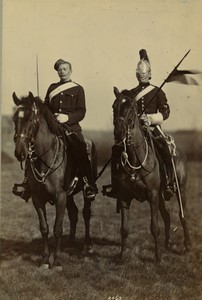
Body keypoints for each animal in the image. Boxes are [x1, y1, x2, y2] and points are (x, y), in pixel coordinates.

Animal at [12, 92, 97, 270]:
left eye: (31, 119)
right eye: (15, 119)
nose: (20, 152)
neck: (46, 158)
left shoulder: (60, 197)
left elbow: (57, 228)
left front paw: (56, 261)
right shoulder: (38, 199)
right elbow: (44, 228)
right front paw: (45, 259)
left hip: (85, 192)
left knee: (86, 214)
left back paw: (88, 245)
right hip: (70, 195)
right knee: (74, 213)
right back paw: (70, 243)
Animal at [110, 86, 191, 262]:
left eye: (132, 108)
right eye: (114, 107)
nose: (119, 133)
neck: (135, 158)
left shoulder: (152, 195)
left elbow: (154, 227)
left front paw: (158, 257)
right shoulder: (124, 197)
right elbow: (124, 228)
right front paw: (122, 255)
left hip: (180, 189)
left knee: (183, 215)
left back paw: (187, 245)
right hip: (161, 195)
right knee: (167, 216)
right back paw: (167, 244)